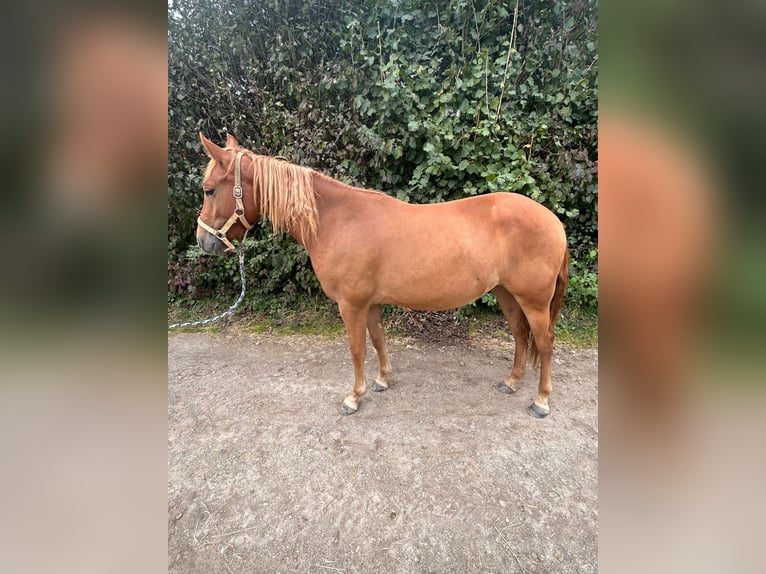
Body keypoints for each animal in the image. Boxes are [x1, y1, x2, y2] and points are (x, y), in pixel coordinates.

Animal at [194, 133, 569, 418]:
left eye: (209, 189)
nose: (203, 241)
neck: (338, 219)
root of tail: (553, 220)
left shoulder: (351, 305)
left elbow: (357, 350)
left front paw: (353, 397)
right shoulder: (370, 303)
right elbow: (377, 341)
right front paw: (382, 381)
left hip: (534, 300)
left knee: (545, 343)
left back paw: (541, 401)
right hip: (507, 293)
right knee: (520, 335)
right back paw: (511, 382)